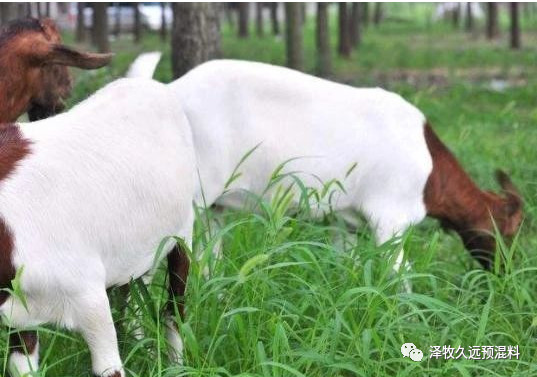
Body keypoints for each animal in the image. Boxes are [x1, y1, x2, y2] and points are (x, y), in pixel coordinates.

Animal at [170, 60, 520, 274]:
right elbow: (399, 273)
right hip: (194, 194)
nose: (504, 272)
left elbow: (346, 265)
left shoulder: (345, 222)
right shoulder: (390, 217)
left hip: (214, 206)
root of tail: (173, 90)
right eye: (508, 232)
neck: (430, 169)